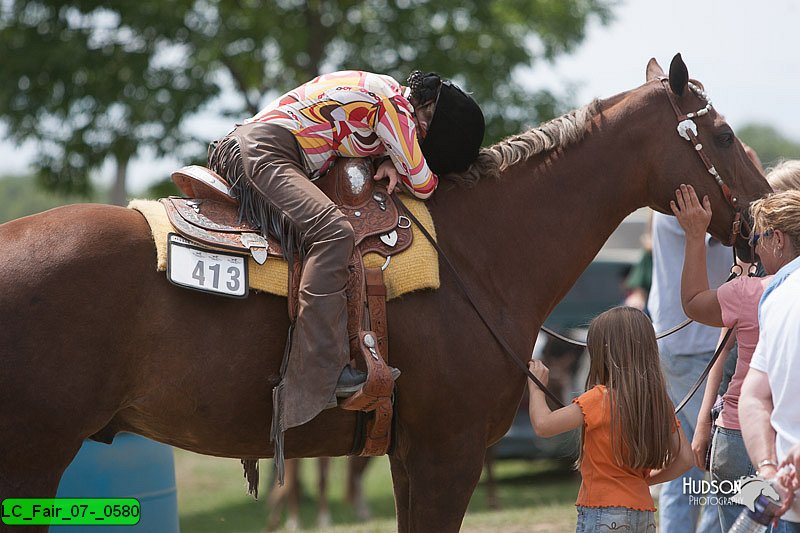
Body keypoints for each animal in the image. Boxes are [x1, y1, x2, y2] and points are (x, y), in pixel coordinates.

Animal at [0, 56, 768, 528]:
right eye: (723, 133)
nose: (762, 219)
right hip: (32, 458)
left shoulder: (411, 455)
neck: (477, 254)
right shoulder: (447, 454)